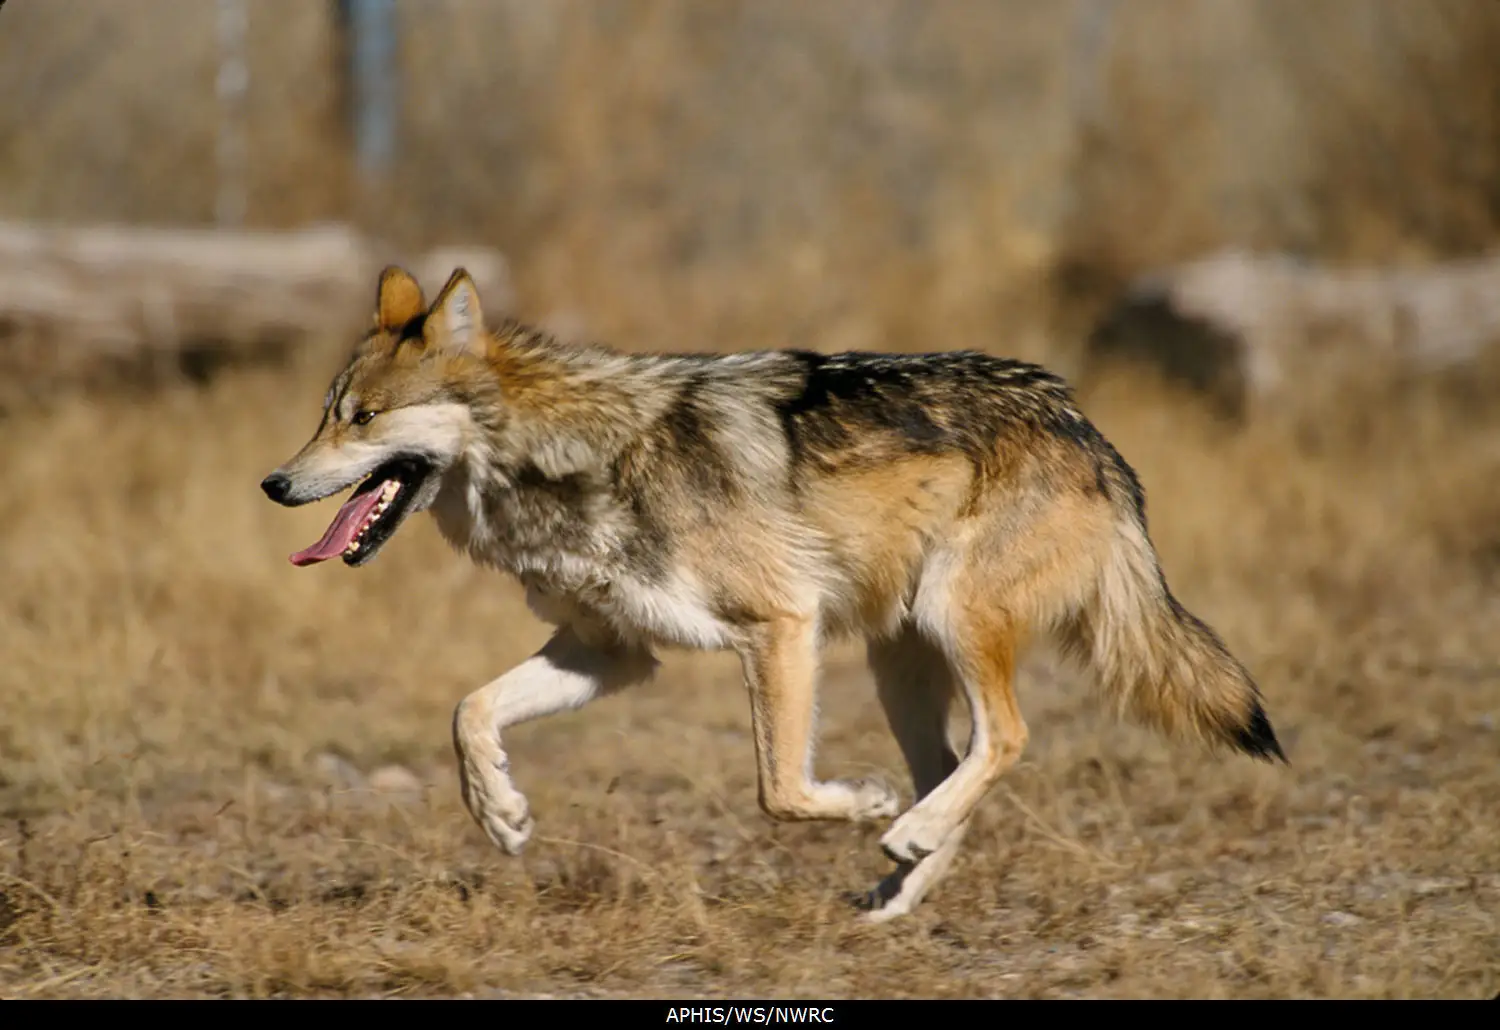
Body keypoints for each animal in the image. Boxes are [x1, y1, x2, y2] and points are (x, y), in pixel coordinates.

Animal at [261, 266, 1285, 922]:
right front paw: (502, 814)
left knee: (1005, 739)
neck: (569, 458)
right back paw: (898, 887)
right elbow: (469, 711)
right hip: (899, 664)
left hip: (949, 623)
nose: (273, 483)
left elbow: (781, 791)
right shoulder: (610, 653)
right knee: (955, 764)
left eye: (363, 419)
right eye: (324, 415)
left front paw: (861, 804)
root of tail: (1084, 426)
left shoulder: (780, 626)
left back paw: (901, 830)